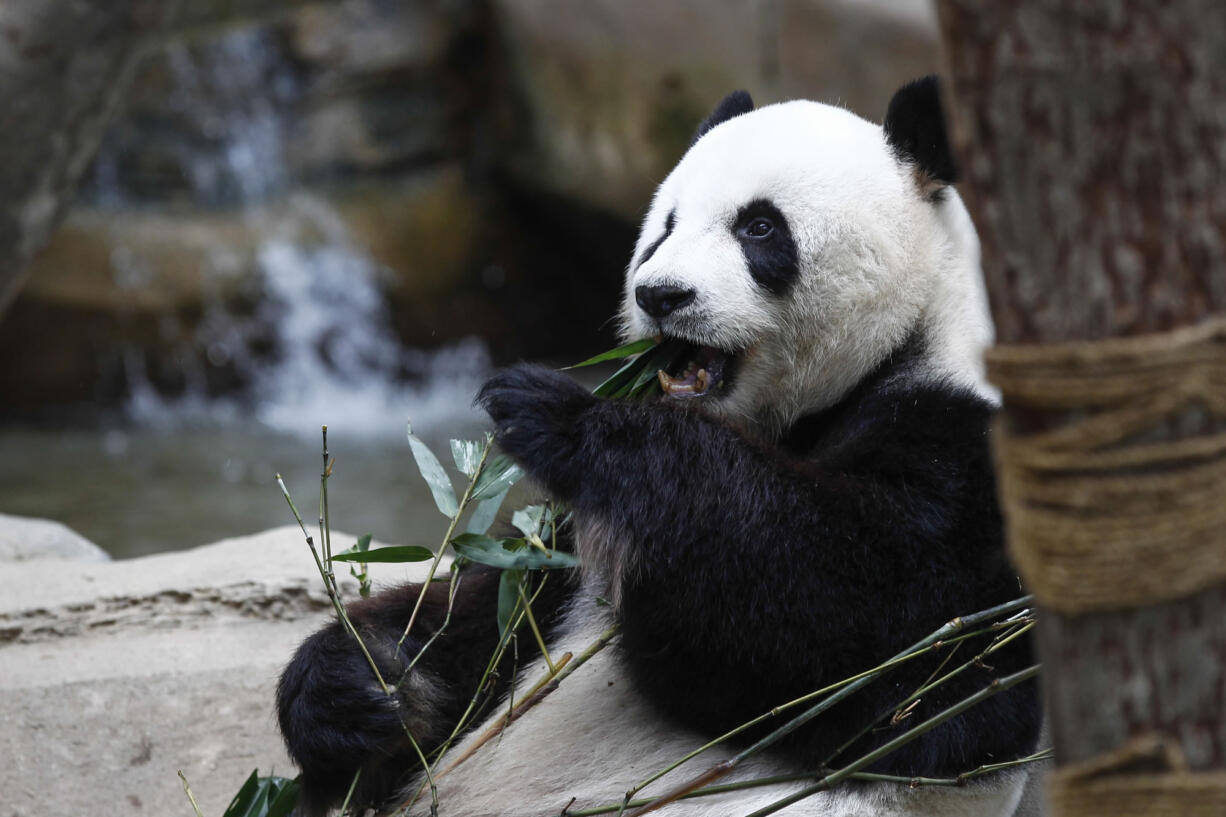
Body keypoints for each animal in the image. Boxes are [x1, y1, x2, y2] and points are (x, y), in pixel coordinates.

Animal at [280, 77, 1044, 814]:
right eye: (664, 229)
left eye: (760, 227)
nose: (661, 294)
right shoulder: (568, 543)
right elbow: (491, 616)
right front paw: (360, 687)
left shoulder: (966, 461)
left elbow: (866, 638)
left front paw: (562, 416)